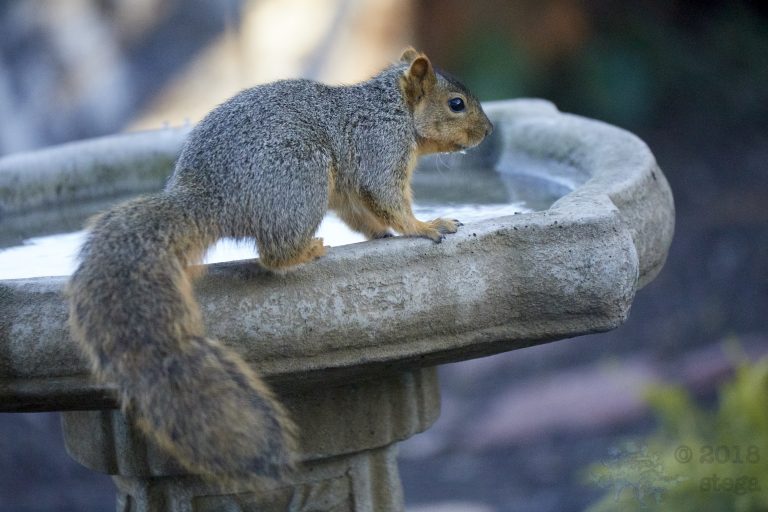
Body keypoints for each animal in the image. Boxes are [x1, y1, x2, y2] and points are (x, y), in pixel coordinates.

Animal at [67, 48, 493, 486]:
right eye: (456, 104)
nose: (488, 132)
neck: (393, 107)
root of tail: (211, 200)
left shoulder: (348, 187)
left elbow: (359, 212)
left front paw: (381, 234)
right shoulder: (379, 145)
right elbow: (387, 198)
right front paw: (424, 227)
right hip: (301, 175)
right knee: (272, 254)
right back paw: (306, 252)